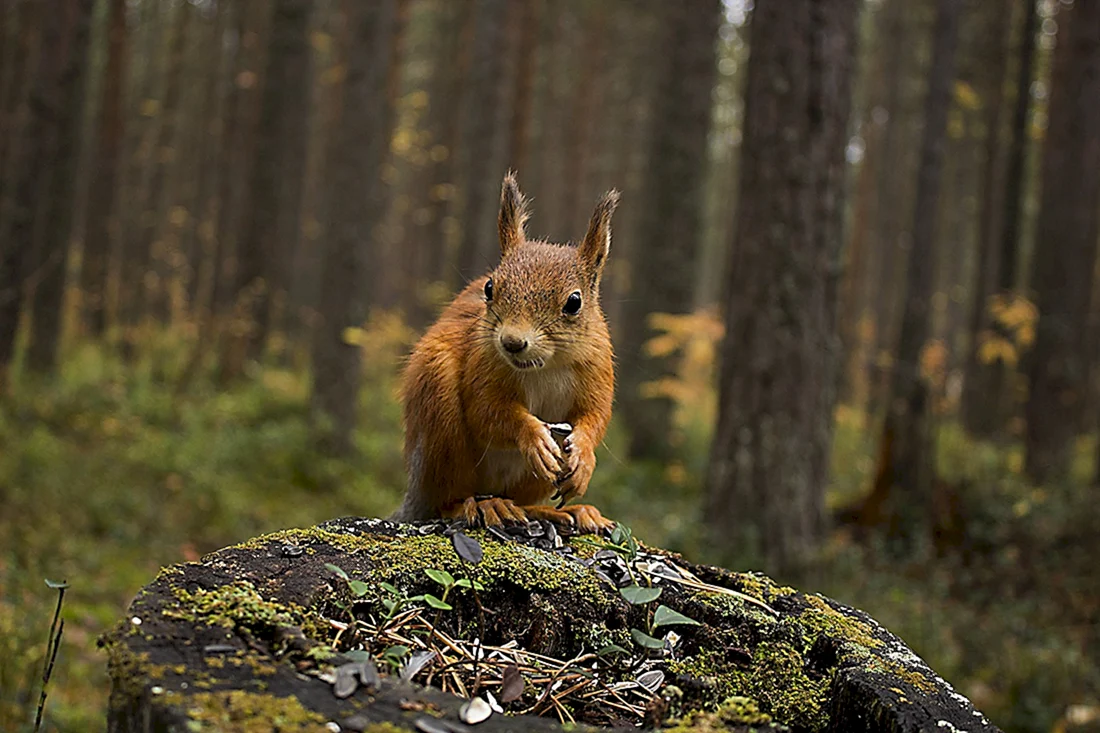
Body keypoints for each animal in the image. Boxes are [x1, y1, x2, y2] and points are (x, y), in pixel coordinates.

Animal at [390, 172, 618, 534]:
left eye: (574, 302)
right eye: (489, 288)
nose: (512, 342)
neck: (545, 366)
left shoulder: (597, 370)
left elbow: (595, 417)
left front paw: (583, 457)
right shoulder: (482, 366)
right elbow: (487, 413)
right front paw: (534, 436)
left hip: (531, 481)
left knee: (522, 501)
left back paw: (566, 512)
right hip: (440, 419)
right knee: (447, 501)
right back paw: (483, 505)